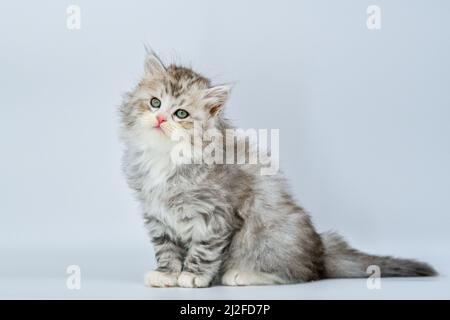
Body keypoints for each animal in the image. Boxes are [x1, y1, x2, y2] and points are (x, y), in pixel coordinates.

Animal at [119, 52, 436, 288]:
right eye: (155, 103)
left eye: (180, 114)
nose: (160, 119)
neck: (165, 158)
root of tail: (321, 251)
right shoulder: (157, 215)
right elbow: (166, 247)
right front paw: (167, 274)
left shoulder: (216, 215)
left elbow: (204, 249)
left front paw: (193, 276)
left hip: (271, 238)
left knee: (302, 274)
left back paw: (241, 275)